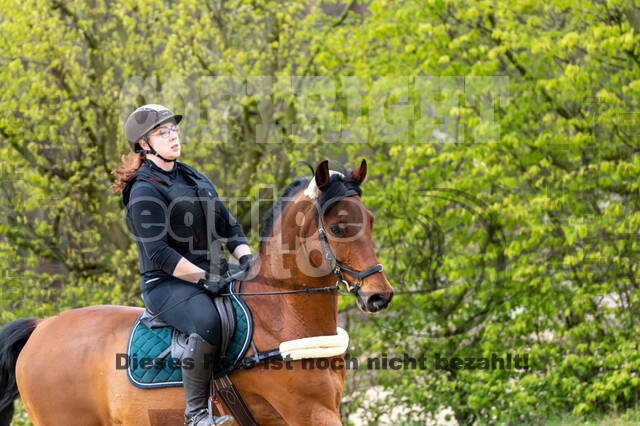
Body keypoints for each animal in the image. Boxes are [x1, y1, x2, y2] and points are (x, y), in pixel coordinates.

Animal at [0, 160, 390, 426]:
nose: (379, 296)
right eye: (338, 228)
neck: (280, 318)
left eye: (370, 221)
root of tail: (42, 326)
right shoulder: (310, 413)